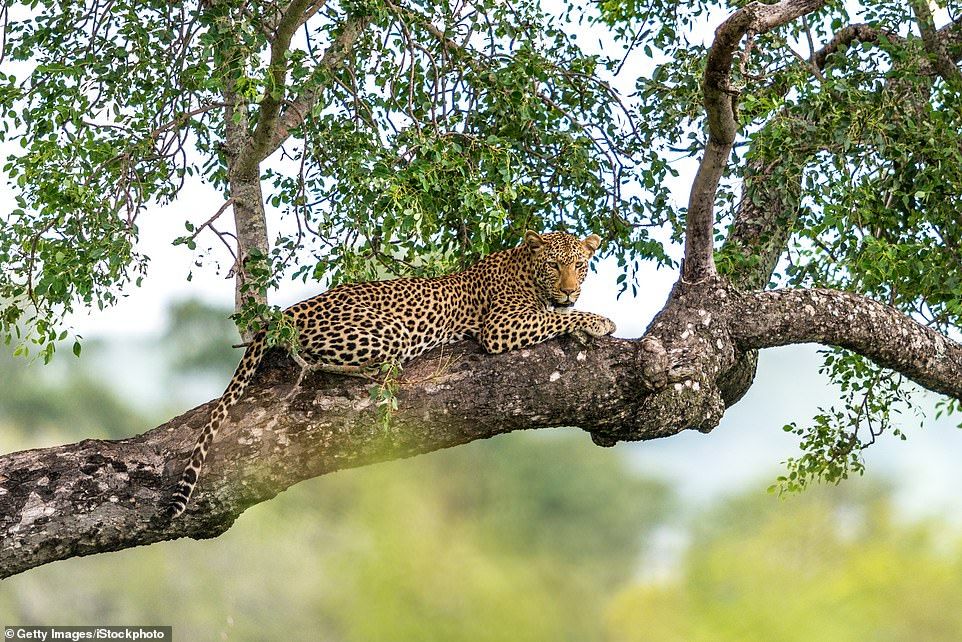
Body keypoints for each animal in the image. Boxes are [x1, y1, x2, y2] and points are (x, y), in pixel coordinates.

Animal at [165, 230, 616, 516]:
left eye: (580, 265)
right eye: (554, 266)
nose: (570, 290)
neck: (525, 270)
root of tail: (292, 309)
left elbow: (557, 316)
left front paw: (584, 319)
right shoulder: (501, 326)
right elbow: (555, 318)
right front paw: (599, 321)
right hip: (388, 332)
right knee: (319, 361)